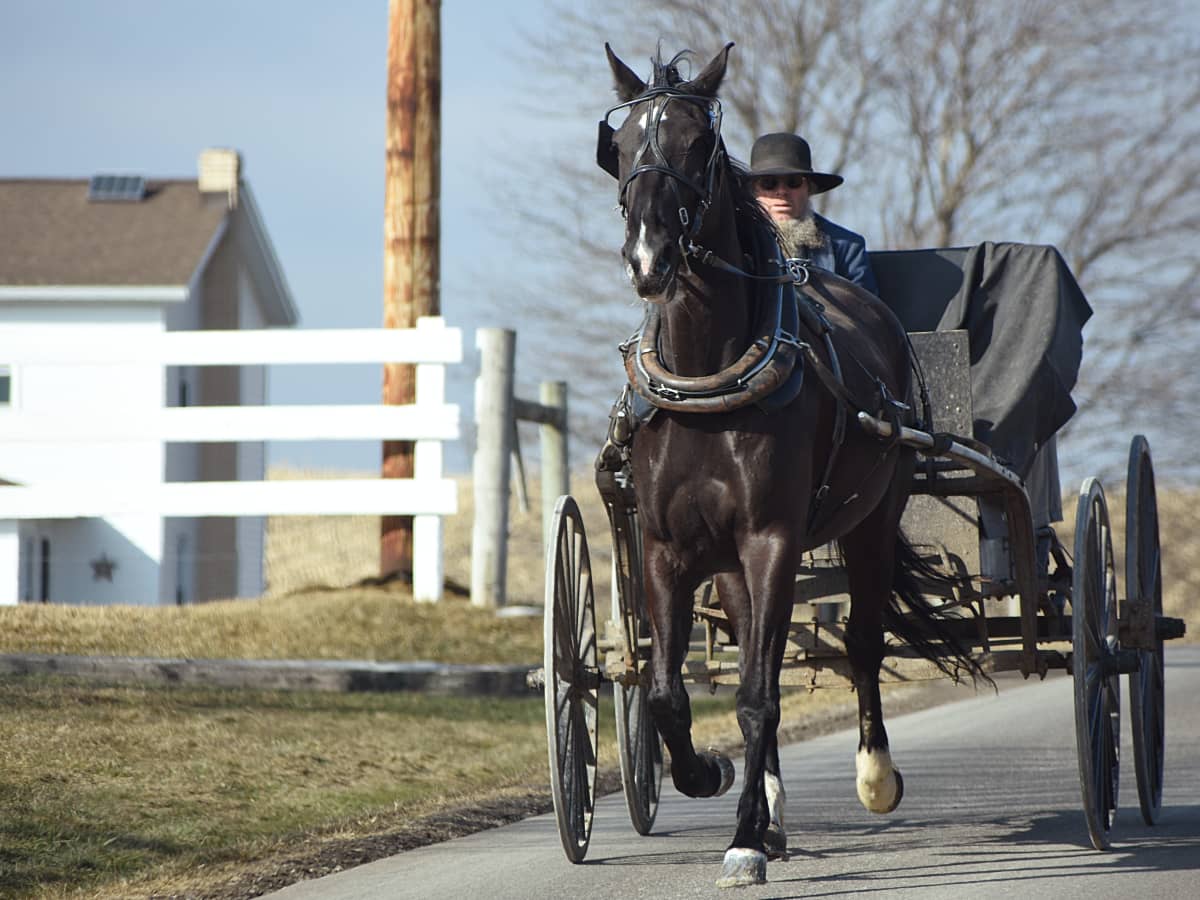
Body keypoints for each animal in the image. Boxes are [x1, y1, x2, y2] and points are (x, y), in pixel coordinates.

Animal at [600, 44, 984, 888]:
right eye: (624, 143)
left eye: (697, 144)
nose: (649, 256)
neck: (711, 378)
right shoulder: (668, 550)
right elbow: (670, 692)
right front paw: (709, 777)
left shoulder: (771, 539)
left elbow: (754, 695)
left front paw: (743, 839)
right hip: (733, 567)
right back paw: (770, 808)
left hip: (869, 522)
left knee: (863, 643)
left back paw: (873, 777)